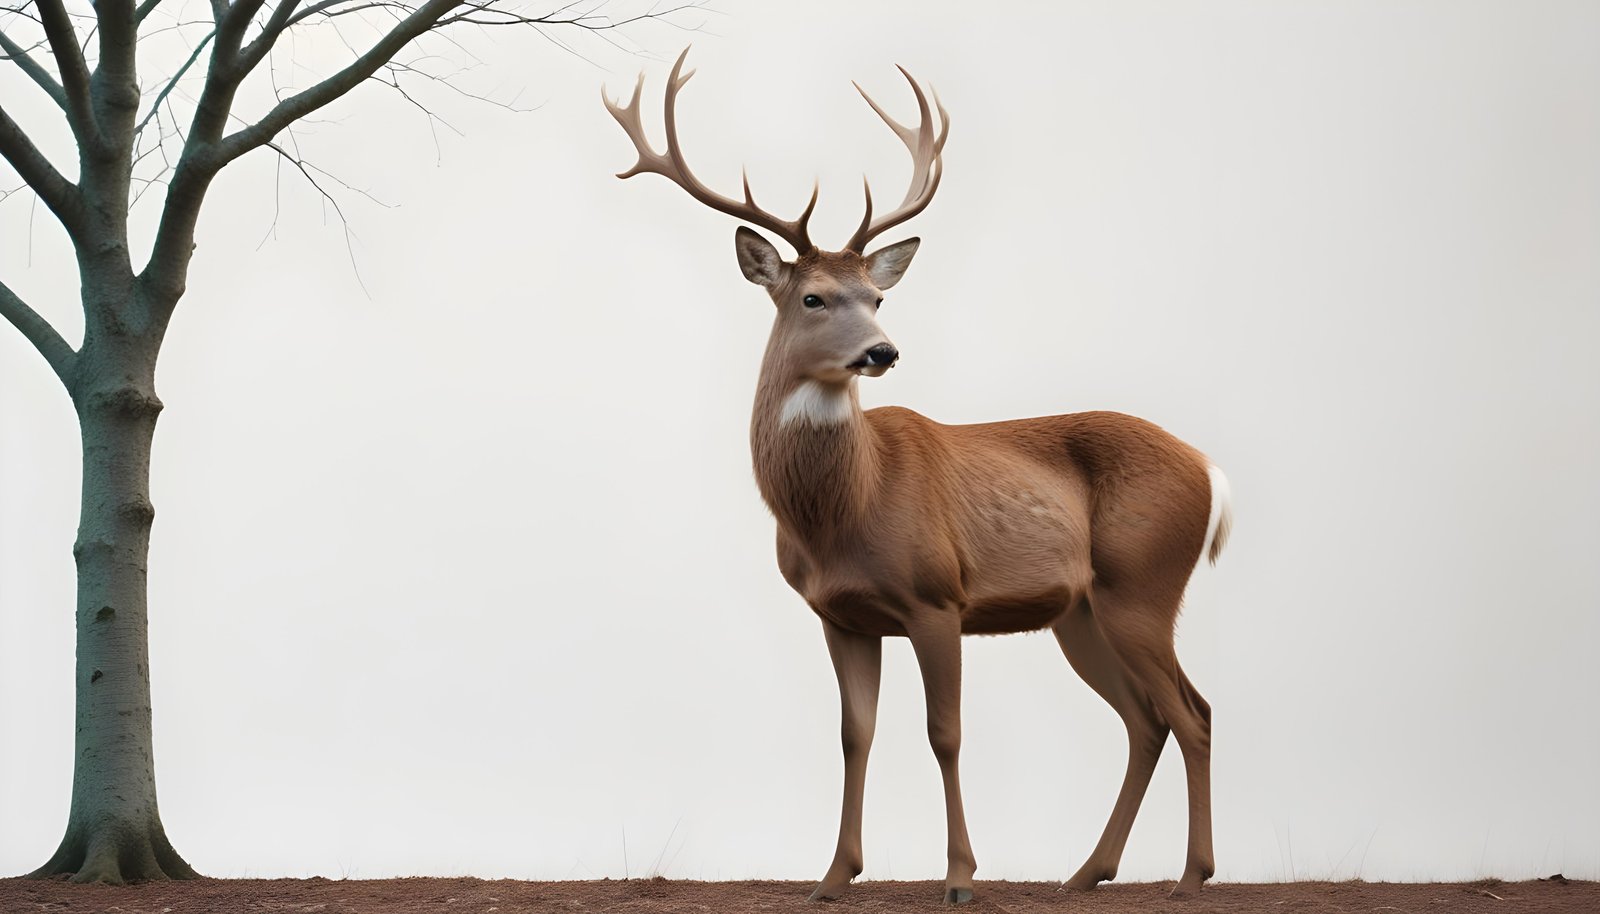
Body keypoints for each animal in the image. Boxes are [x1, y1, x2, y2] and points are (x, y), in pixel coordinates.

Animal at [605, 49, 1233, 906]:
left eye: (876, 295)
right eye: (813, 296)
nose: (882, 350)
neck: (843, 514)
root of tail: (1211, 471)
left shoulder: (938, 596)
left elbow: (945, 732)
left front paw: (961, 876)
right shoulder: (840, 615)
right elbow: (854, 733)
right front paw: (833, 876)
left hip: (1142, 583)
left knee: (1194, 712)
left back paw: (1192, 876)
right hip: (1080, 611)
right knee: (1148, 720)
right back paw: (1085, 874)